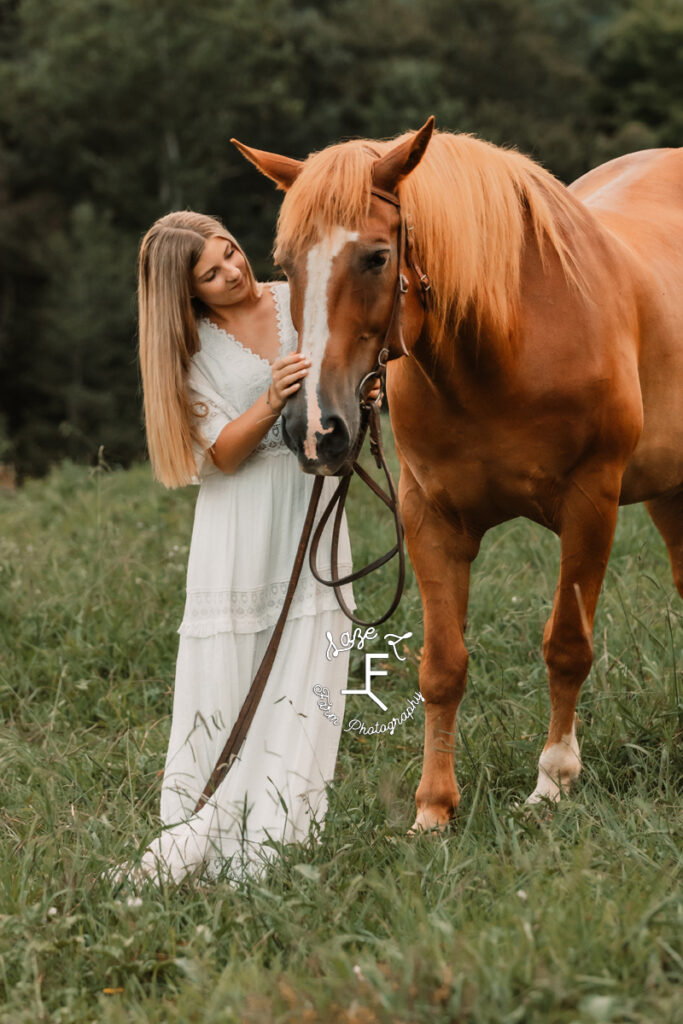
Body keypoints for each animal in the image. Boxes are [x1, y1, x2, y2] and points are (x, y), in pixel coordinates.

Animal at [232, 119, 679, 831]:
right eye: (286, 262)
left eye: (377, 257)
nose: (316, 429)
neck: (509, 346)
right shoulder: (430, 518)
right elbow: (442, 666)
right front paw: (432, 810)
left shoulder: (592, 505)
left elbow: (567, 646)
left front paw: (552, 781)